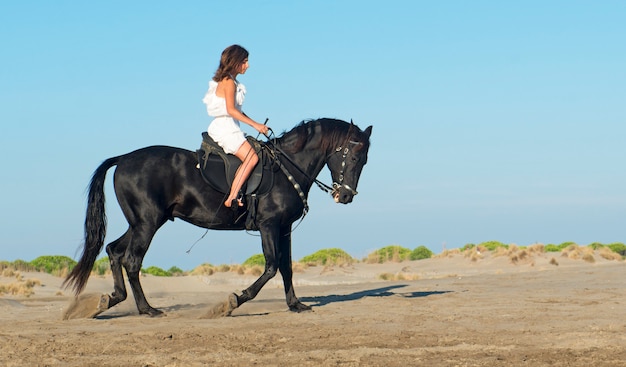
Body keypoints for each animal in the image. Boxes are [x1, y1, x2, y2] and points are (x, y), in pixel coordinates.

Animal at [64, 118, 370, 320]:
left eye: (364, 160)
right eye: (355, 157)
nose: (346, 196)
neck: (287, 167)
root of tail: (124, 158)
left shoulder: (285, 228)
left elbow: (287, 267)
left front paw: (295, 304)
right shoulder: (269, 225)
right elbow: (271, 267)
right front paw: (232, 301)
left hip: (141, 222)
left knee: (114, 251)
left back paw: (110, 300)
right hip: (147, 223)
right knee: (131, 260)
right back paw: (146, 309)